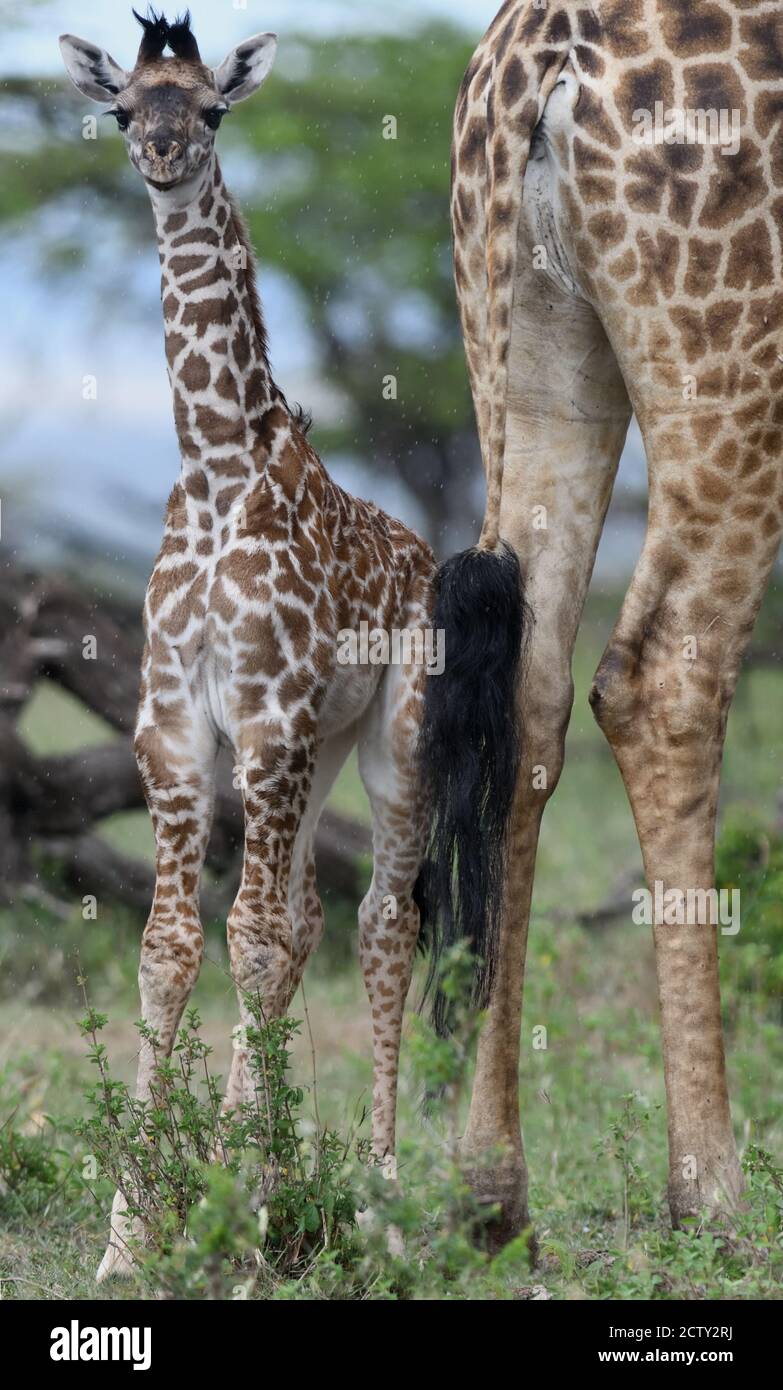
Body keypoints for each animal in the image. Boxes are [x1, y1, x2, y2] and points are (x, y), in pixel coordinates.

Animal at [442, 0, 783, 1251]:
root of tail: (548, 54)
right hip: (736, 368)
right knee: (659, 677)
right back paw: (712, 1190)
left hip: (528, 332)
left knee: (526, 687)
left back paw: (490, 1188)